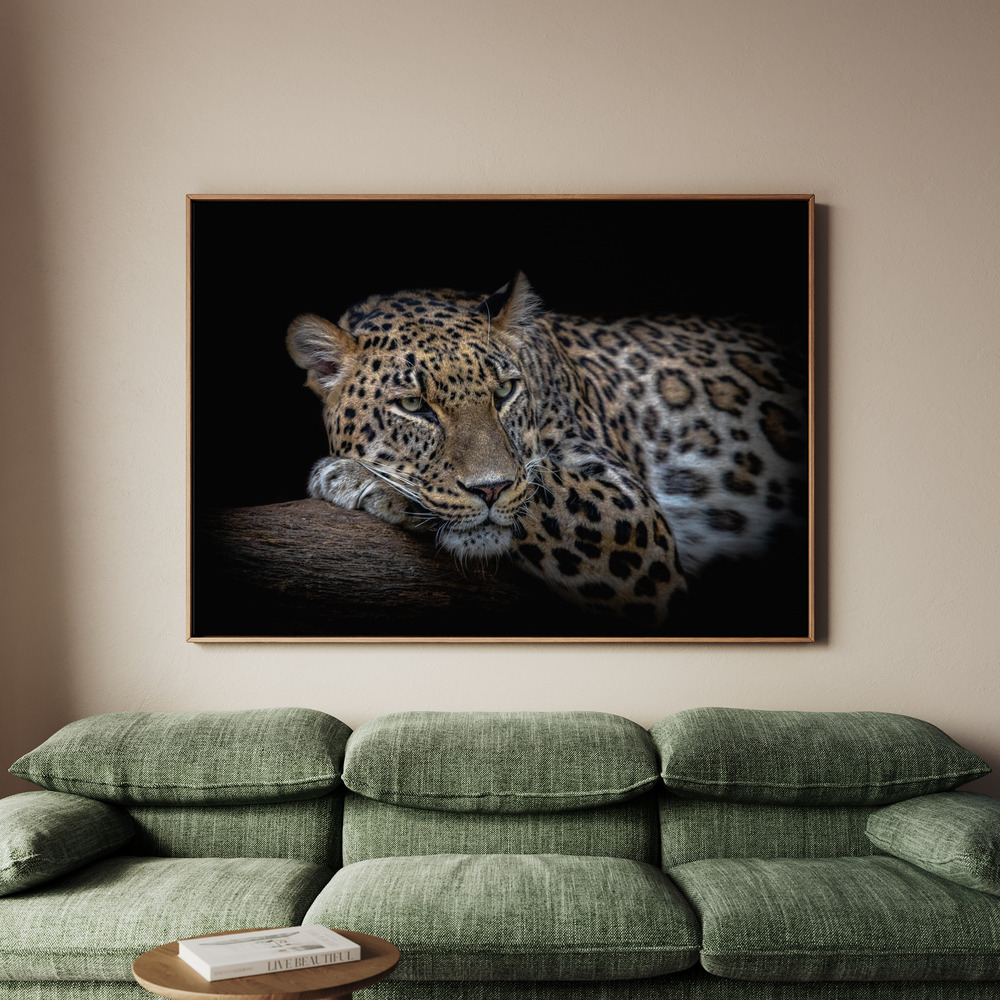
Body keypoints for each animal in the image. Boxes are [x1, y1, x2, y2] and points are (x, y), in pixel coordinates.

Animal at [286, 273, 808, 631]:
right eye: (413, 405)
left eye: (505, 392)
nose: (491, 489)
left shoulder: (633, 516)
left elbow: (540, 488)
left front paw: (360, 478)